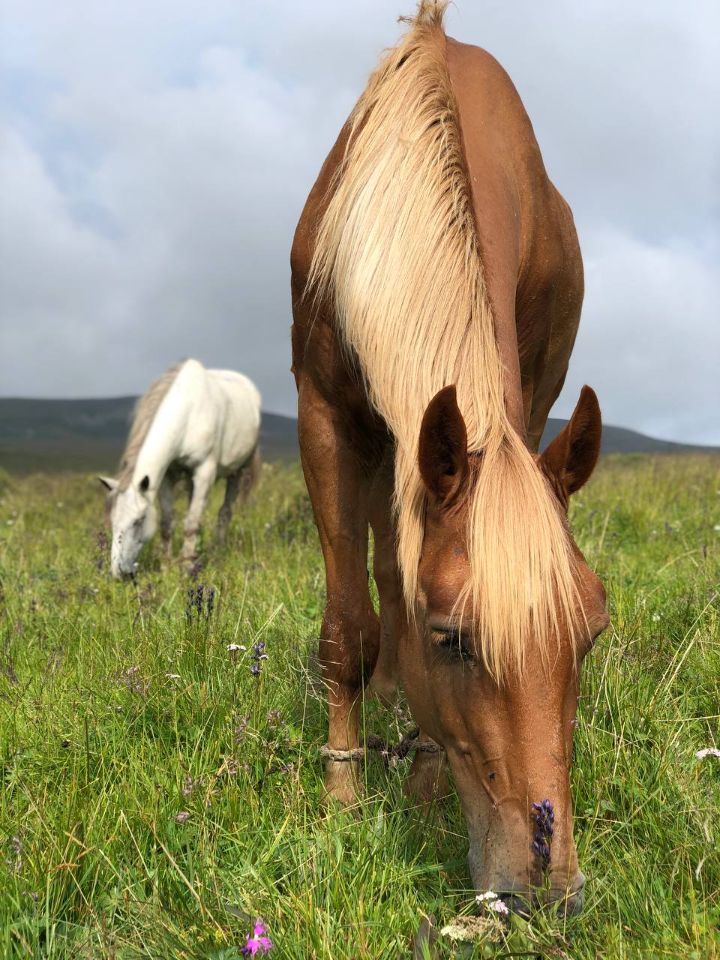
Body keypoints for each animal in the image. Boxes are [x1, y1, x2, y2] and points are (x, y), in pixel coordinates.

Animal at [99, 359, 261, 578]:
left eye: (139, 520)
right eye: (112, 520)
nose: (119, 572)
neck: (189, 414)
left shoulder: (204, 473)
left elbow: (191, 523)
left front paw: (186, 567)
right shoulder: (167, 475)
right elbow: (168, 523)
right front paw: (167, 567)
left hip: (237, 472)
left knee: (225, 512)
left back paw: (217, 551)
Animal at [291, 2, 608, 916]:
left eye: (590, 636)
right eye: (454, 641)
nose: (547, 886)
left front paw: (426, 787)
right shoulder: (325, 415)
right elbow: (349, 625)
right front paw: (342, 796)